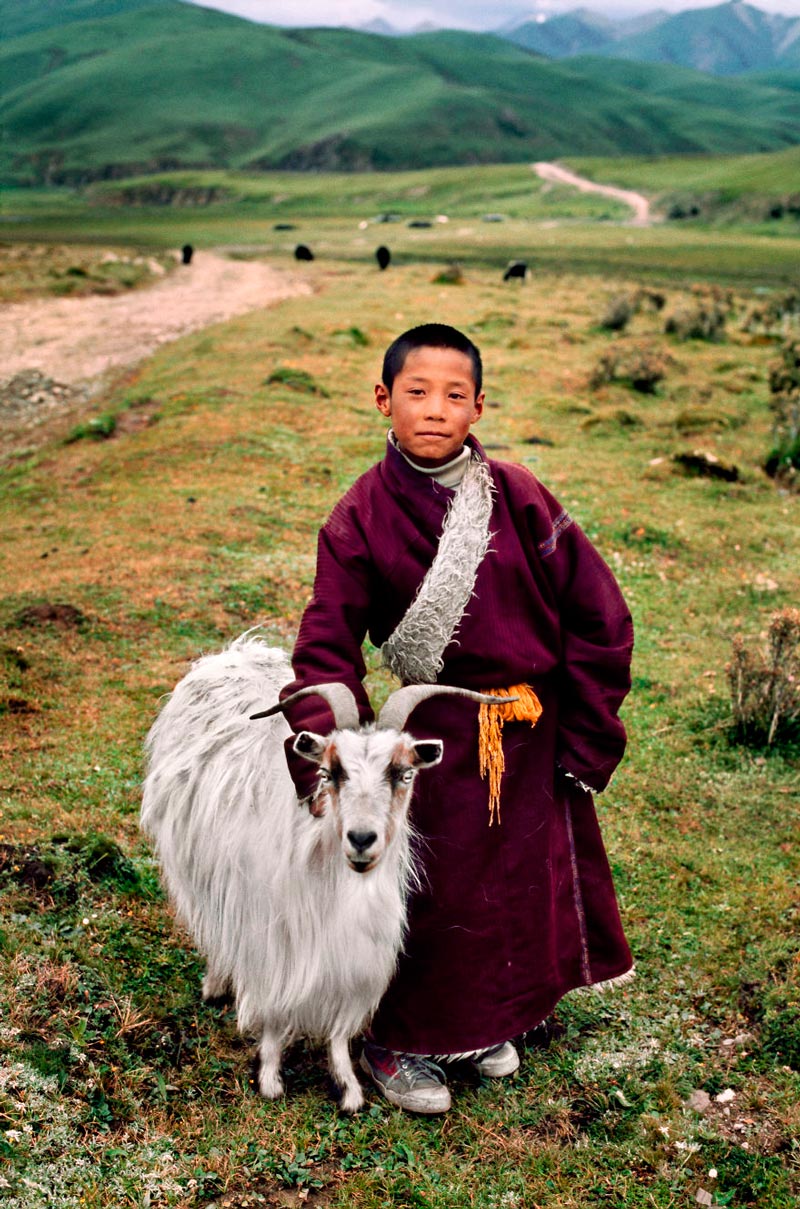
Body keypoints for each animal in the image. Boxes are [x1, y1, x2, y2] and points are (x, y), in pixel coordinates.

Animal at [141, 638, 507, 1107]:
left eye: (403, 773)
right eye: (329, 772)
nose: (362, 838)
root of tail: (237, 653)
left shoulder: (356, 950)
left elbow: (340, 1025)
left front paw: (348, 1088)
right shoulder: (273, 938)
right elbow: (274, 1012)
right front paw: (270, 1078)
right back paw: (217, 982)